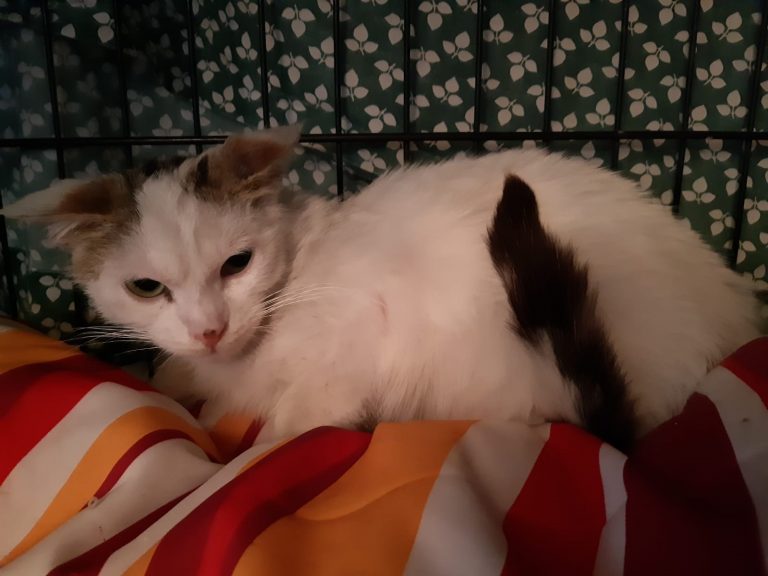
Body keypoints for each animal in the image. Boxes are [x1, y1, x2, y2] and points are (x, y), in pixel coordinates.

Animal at [2, 125, 759, 449]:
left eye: (236, 264)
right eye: (146, 287)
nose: (209, 328)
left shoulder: (354, 345)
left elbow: (285, 428)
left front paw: (241, 441)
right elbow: (182, 379)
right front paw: (185, 384)